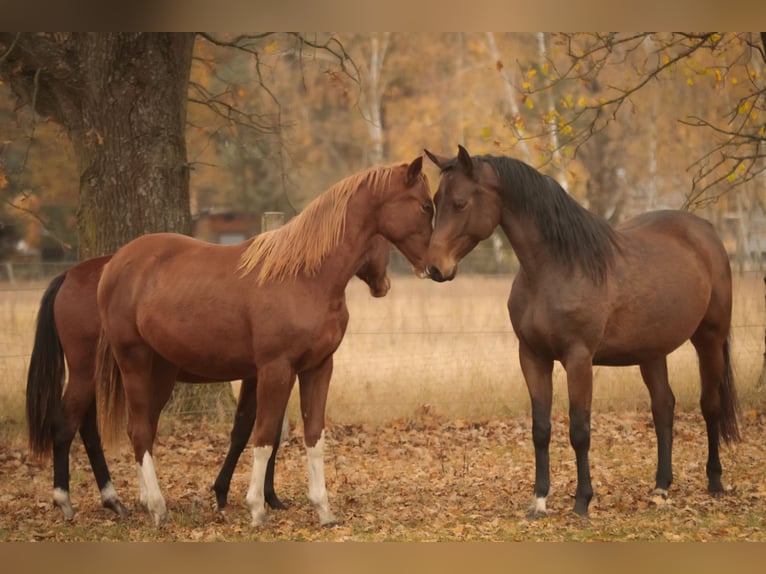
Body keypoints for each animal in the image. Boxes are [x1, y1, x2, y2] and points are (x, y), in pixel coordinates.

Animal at [27, 236, 392, 524]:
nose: (383, 285)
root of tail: (70, 275)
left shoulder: (260, 374)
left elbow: (261, 430)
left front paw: (262, 496)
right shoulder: (266, 372)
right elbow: (253, 430)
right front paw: (236, 494)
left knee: (91, 429)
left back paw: (114, 499)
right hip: (90, 372)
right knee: (69, 425)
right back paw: (69, 501)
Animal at [94, 160, 436, 528]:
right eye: (425, 206)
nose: (435, 267)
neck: (306, 277)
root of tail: (113, 265)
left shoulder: (318, 368)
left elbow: (314, 435)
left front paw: (323, 510)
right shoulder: (275, 370)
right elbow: (264, 435)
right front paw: (257, 508)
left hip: (161, 371)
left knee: (142, 429)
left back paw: (147, 501)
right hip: (135, 362)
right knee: (140, 431)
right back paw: (158, 508)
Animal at [424, 146, 740, 520]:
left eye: (460, 203)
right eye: (434, 201)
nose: (434, 267)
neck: (555, 269)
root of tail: (706, 232)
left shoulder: (578, 359)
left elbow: (579, 431)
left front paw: (582, 501)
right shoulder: (532, 357)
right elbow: (541, 429)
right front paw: (539, 501)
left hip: (709, 338)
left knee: (710, 405)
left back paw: (715, 481)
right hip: (651, 352)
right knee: (663, 407)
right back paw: (661, 486)